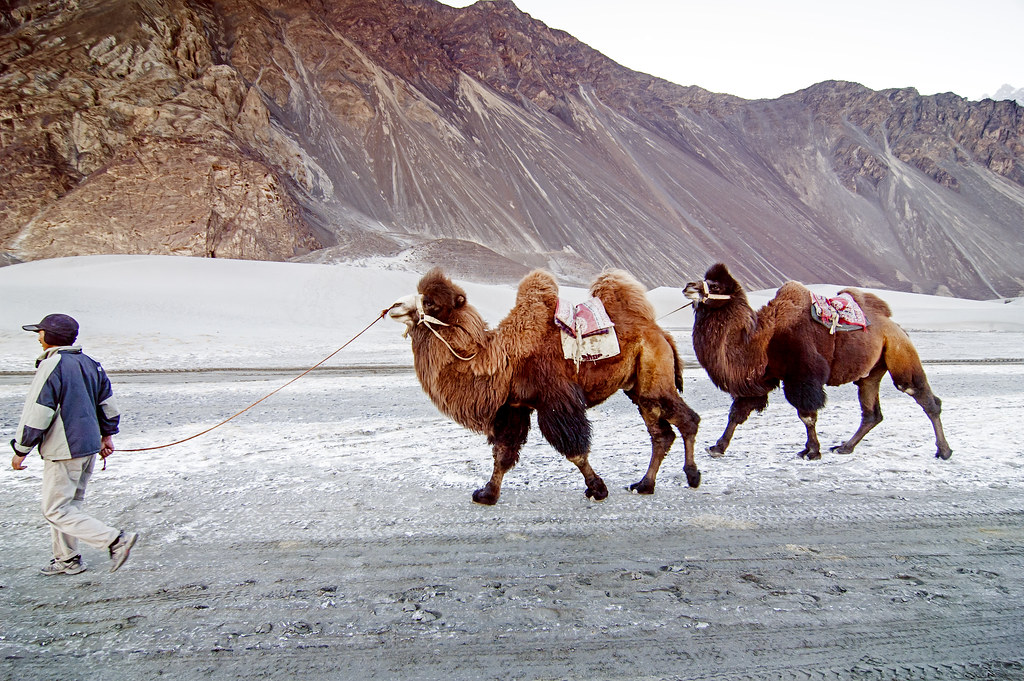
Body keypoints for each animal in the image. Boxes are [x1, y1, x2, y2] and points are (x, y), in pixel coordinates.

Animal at [387, 268, 700, 501]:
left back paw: (692, 476)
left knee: (687, 420)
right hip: (637, 387)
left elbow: (574, 449)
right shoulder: (514, 407)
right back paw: (645, 485)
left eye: (431, 302)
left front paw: (597, 489)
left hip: (654, 379)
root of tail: (660, 332)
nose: (393, 306)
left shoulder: (555, 399)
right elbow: (503, 452)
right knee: (661, 434)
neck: (502, 358)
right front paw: (487, 494)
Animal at [679, 262, 950, 458]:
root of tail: (896, 326)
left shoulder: (802, 375)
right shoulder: (760, 378)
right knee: (871, 412)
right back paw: (845, 447)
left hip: (900, 352)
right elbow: (737, 412)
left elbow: (806, 414)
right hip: (872, 371)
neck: (761, 338)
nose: (688, 286)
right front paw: (717, 447)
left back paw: (944, 451)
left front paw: (812, 451)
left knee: (921, 394)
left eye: (715, 285)